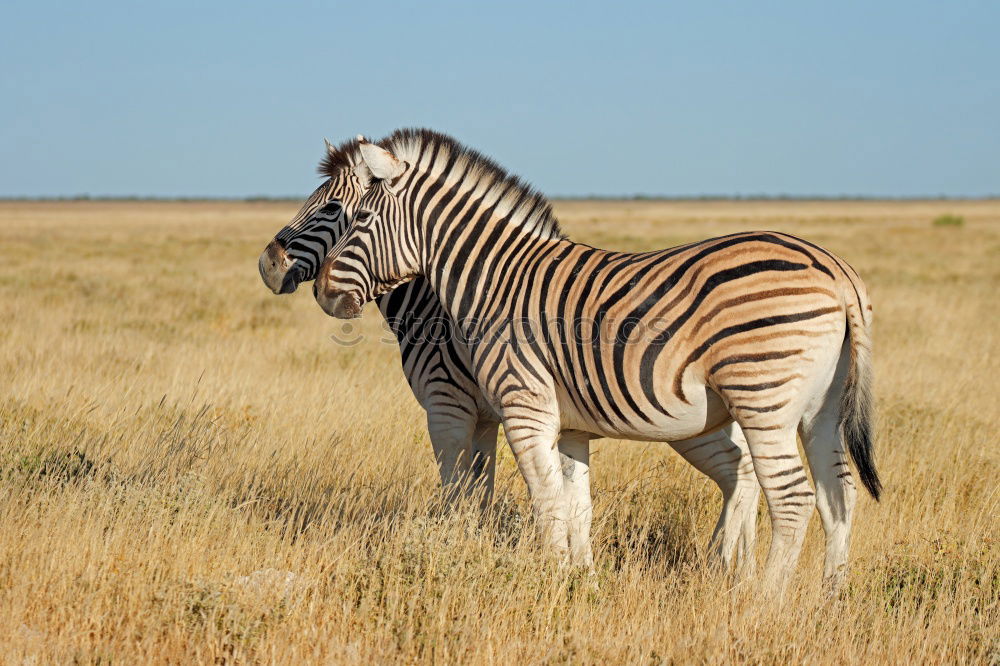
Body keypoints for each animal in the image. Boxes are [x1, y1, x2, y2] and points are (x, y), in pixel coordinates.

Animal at [256, 137, 756, 568]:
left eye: (331, 208)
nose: (268, 265)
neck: (436, 300)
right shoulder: (485, 417)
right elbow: (481, 491)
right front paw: (474, 546)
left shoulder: (447, 406)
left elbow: (456, 490)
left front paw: (450, 549)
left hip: (687, 419)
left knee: (742, 471)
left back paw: (728, 566)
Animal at [314, 128, 884, 592]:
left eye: (358, 218)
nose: (322, 293)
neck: (496, 279)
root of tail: (837, 271)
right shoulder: (570, 427)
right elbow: (576, 507)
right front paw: (578, 581)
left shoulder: (522, 410)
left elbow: (545, 502)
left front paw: (546, 582)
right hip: (821, 410)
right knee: (839, 492)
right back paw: (831, 597)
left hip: (763, 397)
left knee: (793, 498)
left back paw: (763, 600)